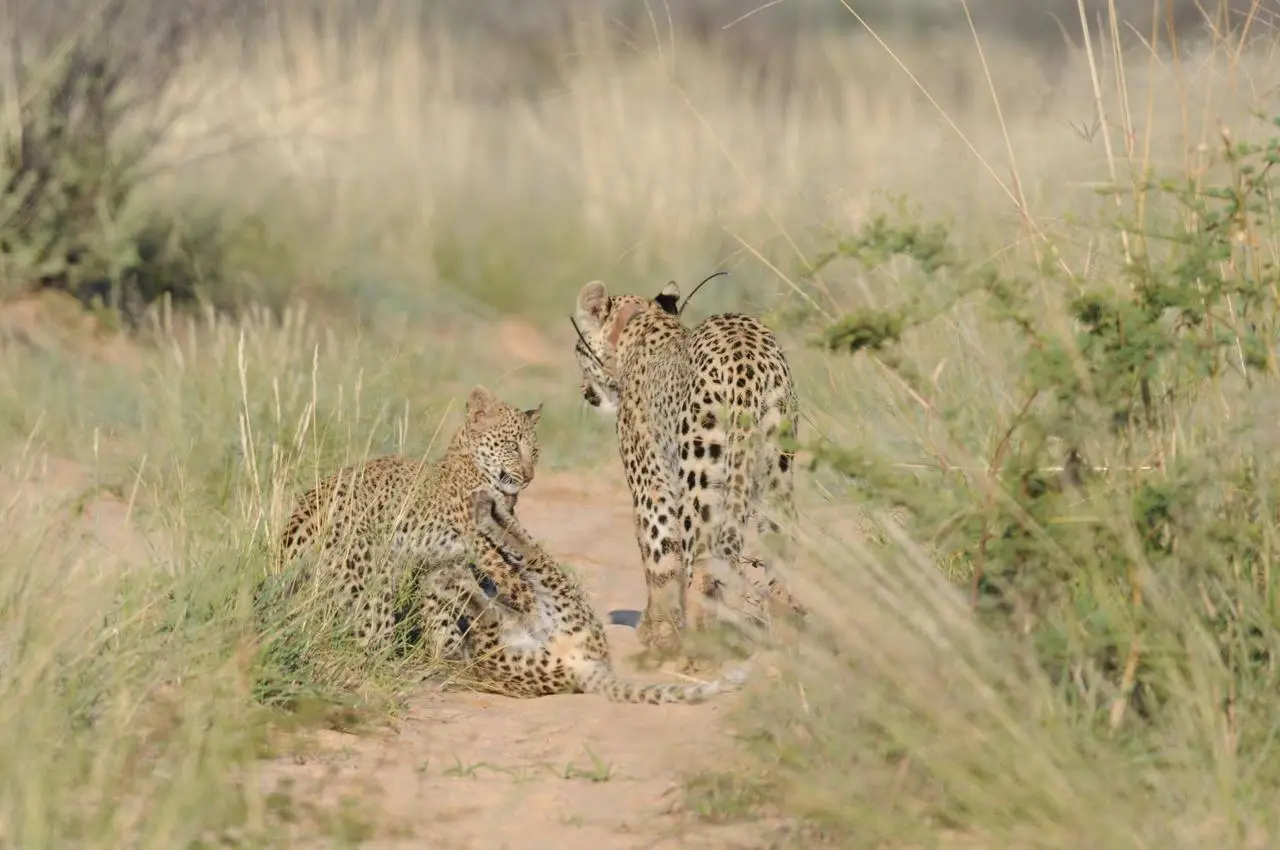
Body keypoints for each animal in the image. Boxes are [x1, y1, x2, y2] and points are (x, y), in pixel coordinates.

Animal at [276, 384, 545, 651]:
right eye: (512, 446)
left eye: (534, 451)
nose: (529, 476)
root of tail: (299, 518)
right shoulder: (485, 550)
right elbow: (521, 588)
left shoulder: (443, 564)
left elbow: (442, 612)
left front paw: (448, 652)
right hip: (372, 572)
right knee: (371, 630)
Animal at [426, 486, 748, 703]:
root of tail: (587, 666)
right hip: (527, 641)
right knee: (500, 598)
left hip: (540, 620)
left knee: (524, 563)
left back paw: (480, 521)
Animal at [571, 278, 805, 656]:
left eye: (579, 348)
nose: (584, 390)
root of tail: (745, 365)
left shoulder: (651, 484)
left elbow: (660, 557)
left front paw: (657, 632)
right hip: (777, 471)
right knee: (781, 551)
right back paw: (786, 636)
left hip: (701, 477)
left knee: (704, 566)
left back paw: (698, 641)